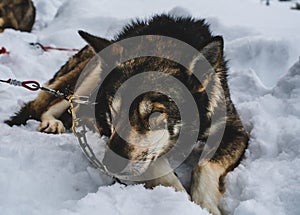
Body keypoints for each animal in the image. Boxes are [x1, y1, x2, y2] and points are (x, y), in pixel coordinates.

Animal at [5, 15, 248, 215]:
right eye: (114, 110)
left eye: (154, 114)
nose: (110, 166)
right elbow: (157, 164)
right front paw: (179, 199)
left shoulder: (233, 129)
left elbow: (203, 165)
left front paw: (205, 204)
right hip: (88, 78)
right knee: (54, 105)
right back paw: (53, 123)